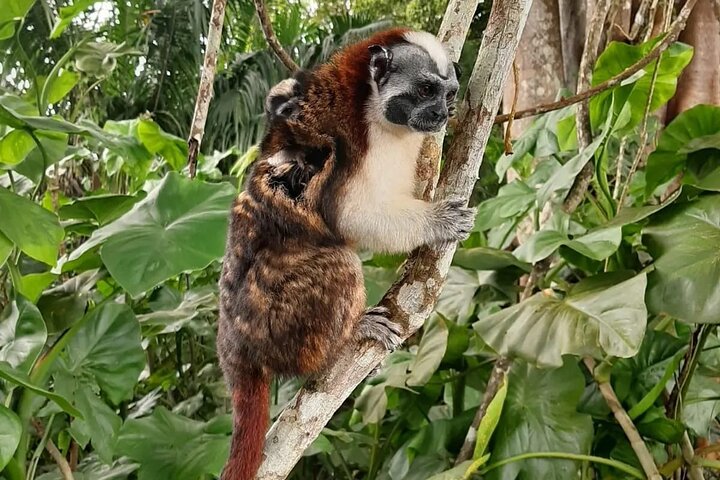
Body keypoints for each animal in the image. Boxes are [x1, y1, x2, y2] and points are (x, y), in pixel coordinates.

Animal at [217, 28, 475, 480]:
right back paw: (349, 335)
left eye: (448, 94)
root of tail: (234, 344)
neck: (377, 115)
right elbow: (352, 216)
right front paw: (438, 222)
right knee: (339, 262)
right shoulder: (348, 138)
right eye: (426, 90)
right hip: (270, 321)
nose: (442, 114)